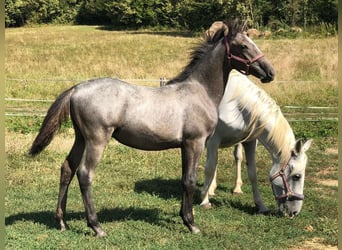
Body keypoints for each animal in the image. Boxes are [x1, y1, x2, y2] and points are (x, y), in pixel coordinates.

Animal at [28, 20, 276, 236]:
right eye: (243, 46)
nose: (270, 72)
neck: (199, 91)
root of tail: (77, 89)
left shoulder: (184, 146)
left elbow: (184, 179)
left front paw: (184, 217)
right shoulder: (194, 143)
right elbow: (190, 180)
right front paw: (191, 224)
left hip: (80, 138)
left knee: (67, 169)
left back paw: (61, 222)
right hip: (96, 140)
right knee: (84, 174)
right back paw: (96, 227)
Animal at [199, 70, 312, 217]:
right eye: (297, 176)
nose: (294, 212)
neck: (236, 106)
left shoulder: (250, 142)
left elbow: (252, 173)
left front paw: (261, 205)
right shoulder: (213, 140)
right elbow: (209, 168)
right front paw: (204, 201)